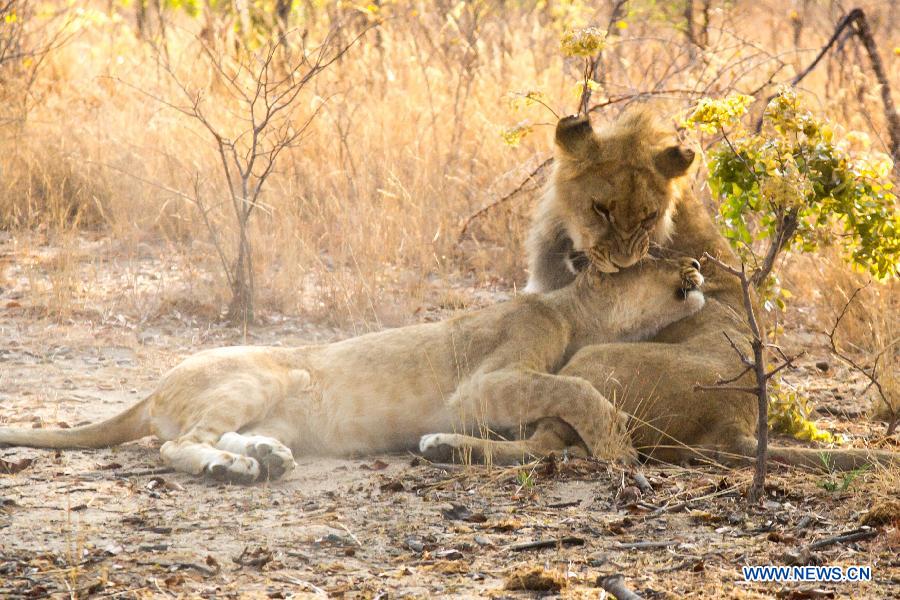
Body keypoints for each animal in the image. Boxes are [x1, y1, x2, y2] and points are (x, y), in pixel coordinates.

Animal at [0, 253, 704, 482]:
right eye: (661, 256)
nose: (699, 265)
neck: (577, 313)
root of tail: (152, 389)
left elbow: (539, 431)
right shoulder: (481, 386)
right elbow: (574, 384)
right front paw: (618, 449)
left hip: (281, 405)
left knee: (219, 435)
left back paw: (265, 458)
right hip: (265, 374)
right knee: (180, 445)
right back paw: (231, 470)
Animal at [424, 111, 900, 468]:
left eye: (648, 216)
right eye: (601, 209)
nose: (622, 263)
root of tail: (735, 426)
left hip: (592, 362)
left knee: (550, 443)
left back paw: (445, 445)